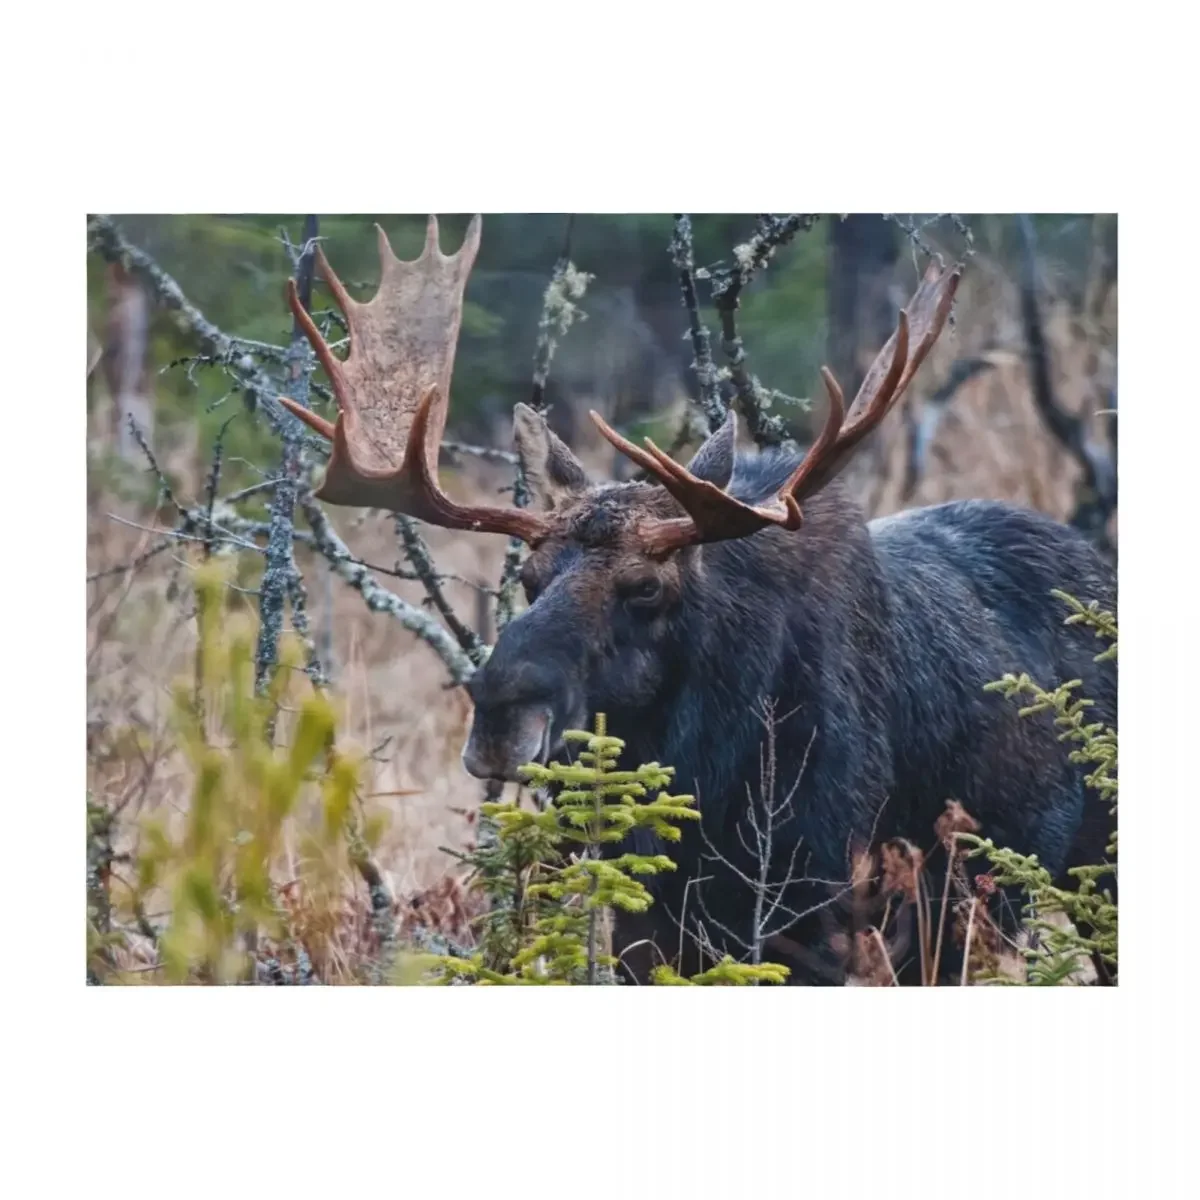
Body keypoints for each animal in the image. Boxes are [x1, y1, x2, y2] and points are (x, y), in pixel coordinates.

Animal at [280, 215, 1117, 985]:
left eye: (646, 587)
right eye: (528, 577)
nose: (498, 714)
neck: (708, 777)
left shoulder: (821, 909)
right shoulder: (647, 923)